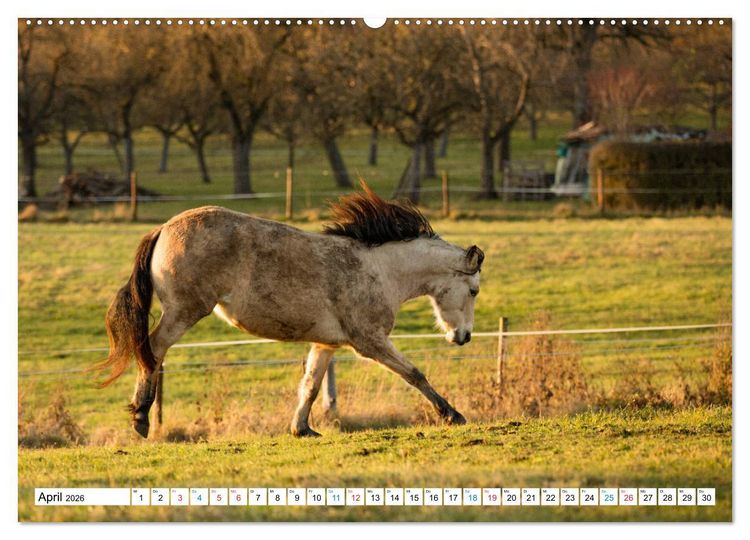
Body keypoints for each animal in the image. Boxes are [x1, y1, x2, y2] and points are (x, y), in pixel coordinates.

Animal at [95, 182, 484, 438]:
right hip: (184, 311)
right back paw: (141, 418)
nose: (464, 337)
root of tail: (163, 228)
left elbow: (310, 385)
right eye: (474, 291)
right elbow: (415, 374)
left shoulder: (328, 344)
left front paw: (302, 429)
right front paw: (452, 414)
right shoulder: (370, 341)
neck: (381, 270)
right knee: (152, 350)